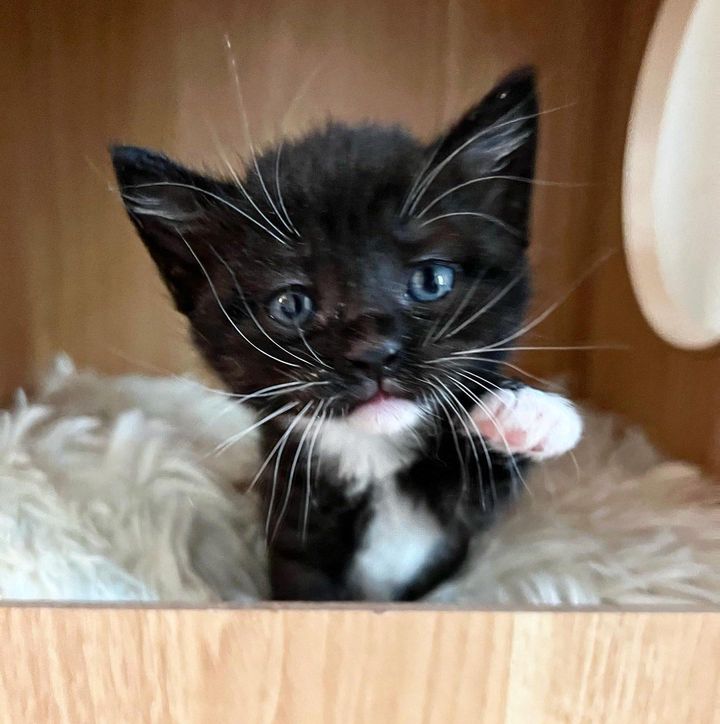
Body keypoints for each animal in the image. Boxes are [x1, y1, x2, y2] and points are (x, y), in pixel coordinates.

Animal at [112, 66, 580, 600]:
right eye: (291, 305)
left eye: (431, 280)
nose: (373, 352)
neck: (372, 458)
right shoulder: (291, 518)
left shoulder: (457, 537)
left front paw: (525, 410)